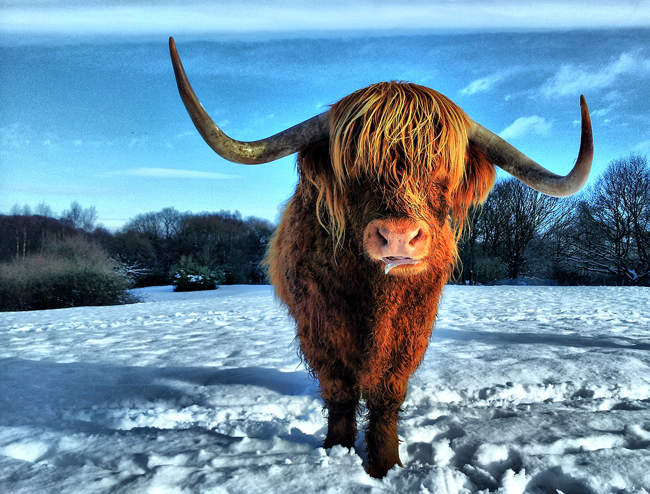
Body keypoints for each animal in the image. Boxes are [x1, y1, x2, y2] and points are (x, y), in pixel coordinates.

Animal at [168, 37, 593, 478]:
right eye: (354, 166)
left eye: (443, 168)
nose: (399, 237)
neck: (373, 293)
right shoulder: (319, 323)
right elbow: (339, 389)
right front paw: (337, 450)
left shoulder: (412, 322)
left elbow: (387, 391)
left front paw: (385, 464)